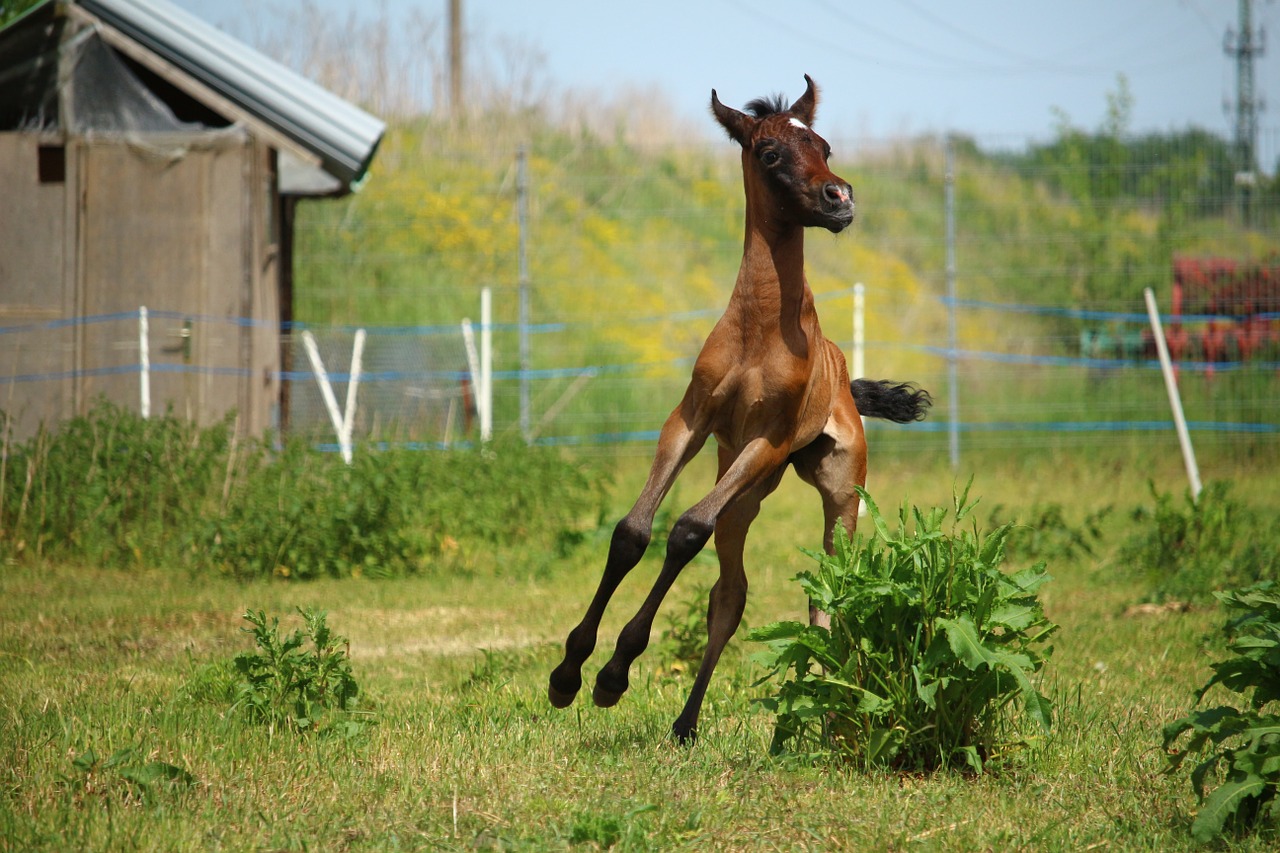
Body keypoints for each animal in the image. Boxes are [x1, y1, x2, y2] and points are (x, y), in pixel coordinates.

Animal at [547, 76, 931, 742]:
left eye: (824, 146)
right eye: (770, 153)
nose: (840, 199)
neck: (760, 331)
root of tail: (845, 382)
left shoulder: (768, 441)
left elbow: (683, 530)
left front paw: (615, 670)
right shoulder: (691, 421)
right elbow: (633, 532)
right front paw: (570, 672)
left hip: (835, 493)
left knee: (827, 593)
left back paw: (824, 717)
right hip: (745, 494)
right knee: (730, 596)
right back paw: (685, 723)